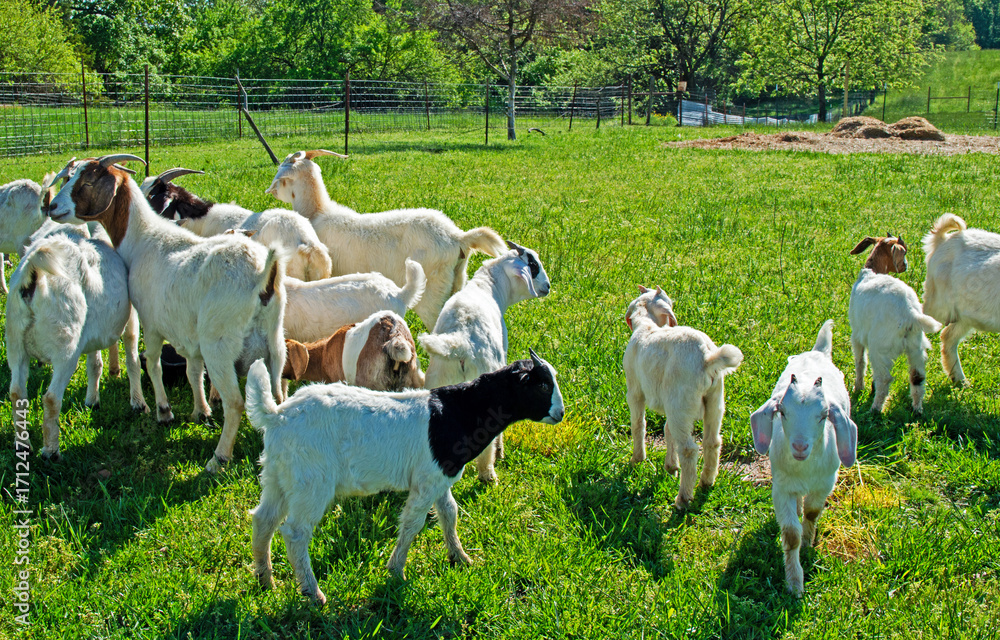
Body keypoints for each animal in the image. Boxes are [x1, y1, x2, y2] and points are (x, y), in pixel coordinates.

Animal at [246, 350, 564, 604]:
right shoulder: (426, 482)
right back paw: (313, 593)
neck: (459, 412)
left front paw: (460, 557)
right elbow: (413, 523)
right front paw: (396, 571)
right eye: (543, 385)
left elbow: (449, 512)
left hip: (278, 475)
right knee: (295, 533)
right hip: (311, 482)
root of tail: (277, 416)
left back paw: (265, 580)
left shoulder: (439, 476)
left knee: (263, 520)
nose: (560, 414)